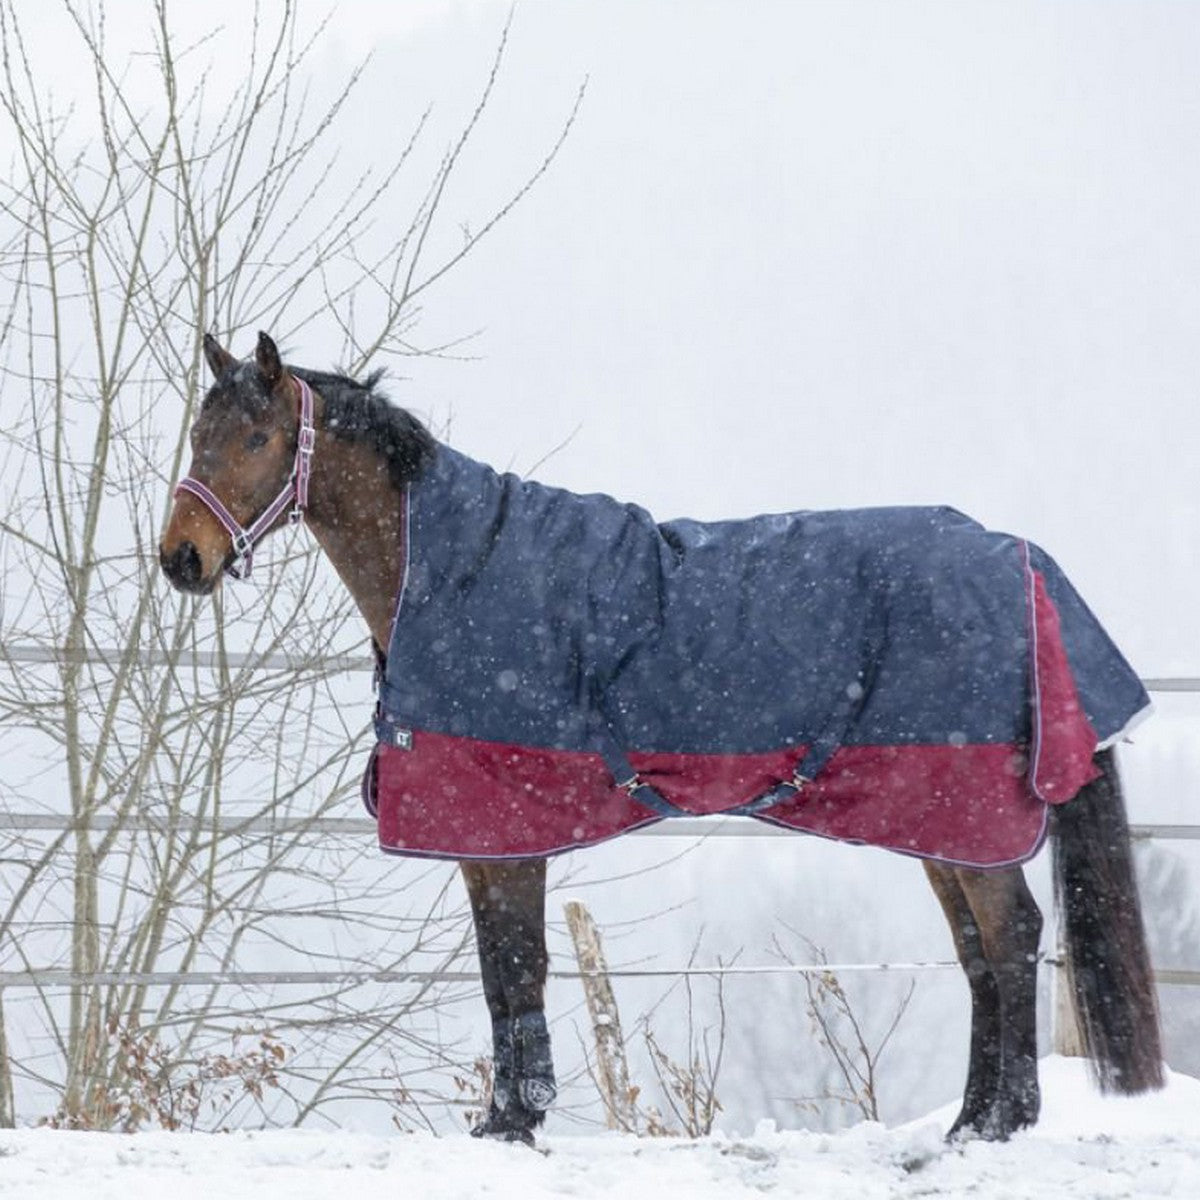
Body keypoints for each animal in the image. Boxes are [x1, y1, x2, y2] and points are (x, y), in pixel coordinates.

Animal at [159, 328, 1161, 1142]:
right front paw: (505, 1119)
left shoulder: (504, 827)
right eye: (197, 435)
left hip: (969, 818)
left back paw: (999, 1124)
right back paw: (971, 1120)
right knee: (979, 953)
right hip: (938, 822)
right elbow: (498, 973)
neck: (449, 573)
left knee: (1011, 934)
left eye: (256, 439)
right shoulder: (485, 838)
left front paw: (515, 1122)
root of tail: (1021, 561)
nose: (181, 560)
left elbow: (516, 967)